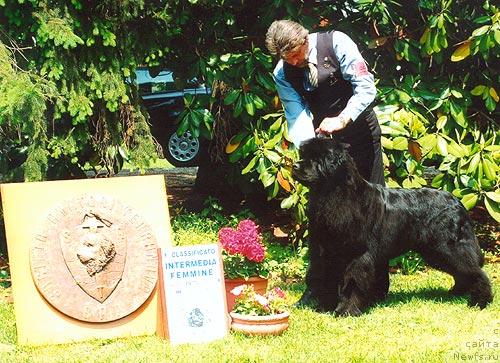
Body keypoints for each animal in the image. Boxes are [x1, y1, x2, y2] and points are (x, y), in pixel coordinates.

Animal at [292, 138, 492, 318]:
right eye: (303, 155)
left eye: (316, 158)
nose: (294, 165)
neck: (335, 192)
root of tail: (457, 201)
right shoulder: (326, 251)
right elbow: (327, 278)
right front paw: (323, 307)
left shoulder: (356, 253)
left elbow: (352, 282)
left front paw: (346, 311)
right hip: (436, 251)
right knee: (462, 272)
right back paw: (456, 293)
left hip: (449, 247)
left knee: (475, 271)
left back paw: (480, 301)